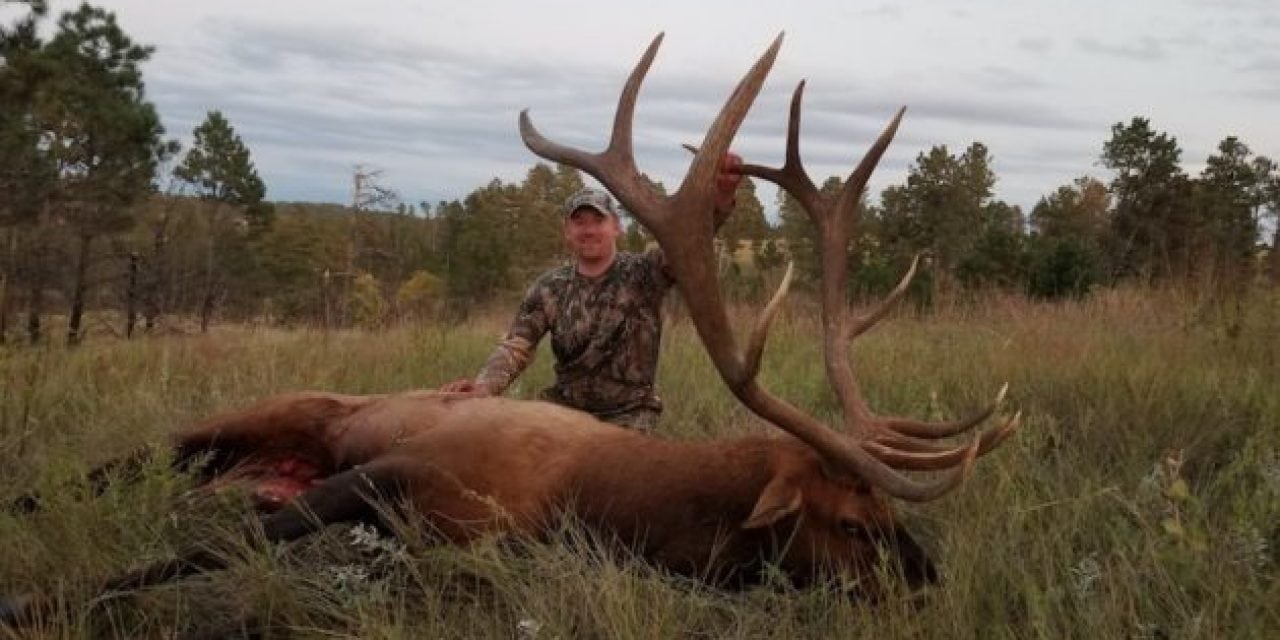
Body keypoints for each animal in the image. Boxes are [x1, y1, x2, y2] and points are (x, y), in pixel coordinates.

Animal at [0, 32, 1018, 627]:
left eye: (889, 514)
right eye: (853, 522)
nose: (932, 584)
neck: (587, 504)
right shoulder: (389, 473)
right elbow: (199, 556)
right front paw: (35, 598)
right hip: (251, 417)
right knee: (106, 468)